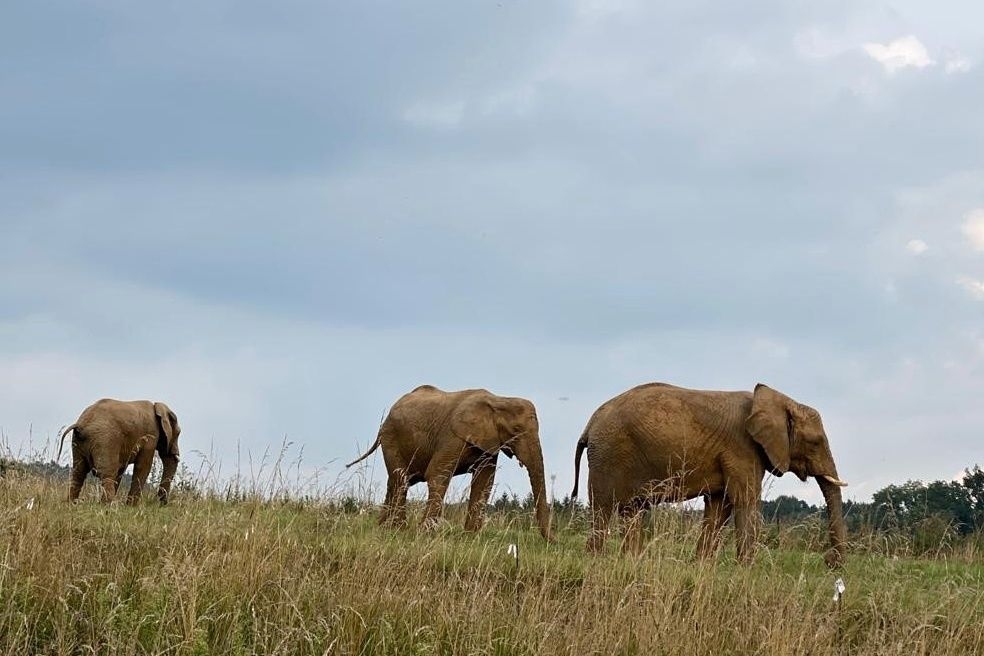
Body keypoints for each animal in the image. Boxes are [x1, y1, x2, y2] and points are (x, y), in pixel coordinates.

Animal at [344, 384, 552, 540]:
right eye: (516, 430)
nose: (552, 541)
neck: (499, 400)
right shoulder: (452, 437)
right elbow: (437, 475)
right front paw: (424, 533)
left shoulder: (489, 444)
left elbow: (484, 483)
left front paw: (470, 537)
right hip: (391, 437)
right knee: (400, 480)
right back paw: (398, 529)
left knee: (396, 481)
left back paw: (383, 527)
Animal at [572, 382, 848, 568]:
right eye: (815, 442)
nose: (830, 561)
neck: (774, 400)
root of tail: (589, 424)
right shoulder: (741, 448)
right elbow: (745, 501)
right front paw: (746, 571)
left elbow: (720, 506)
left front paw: (701, 567)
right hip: (608, 456)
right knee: (602, 510)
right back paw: (595, 562)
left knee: (632, 511)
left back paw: (633, 562)